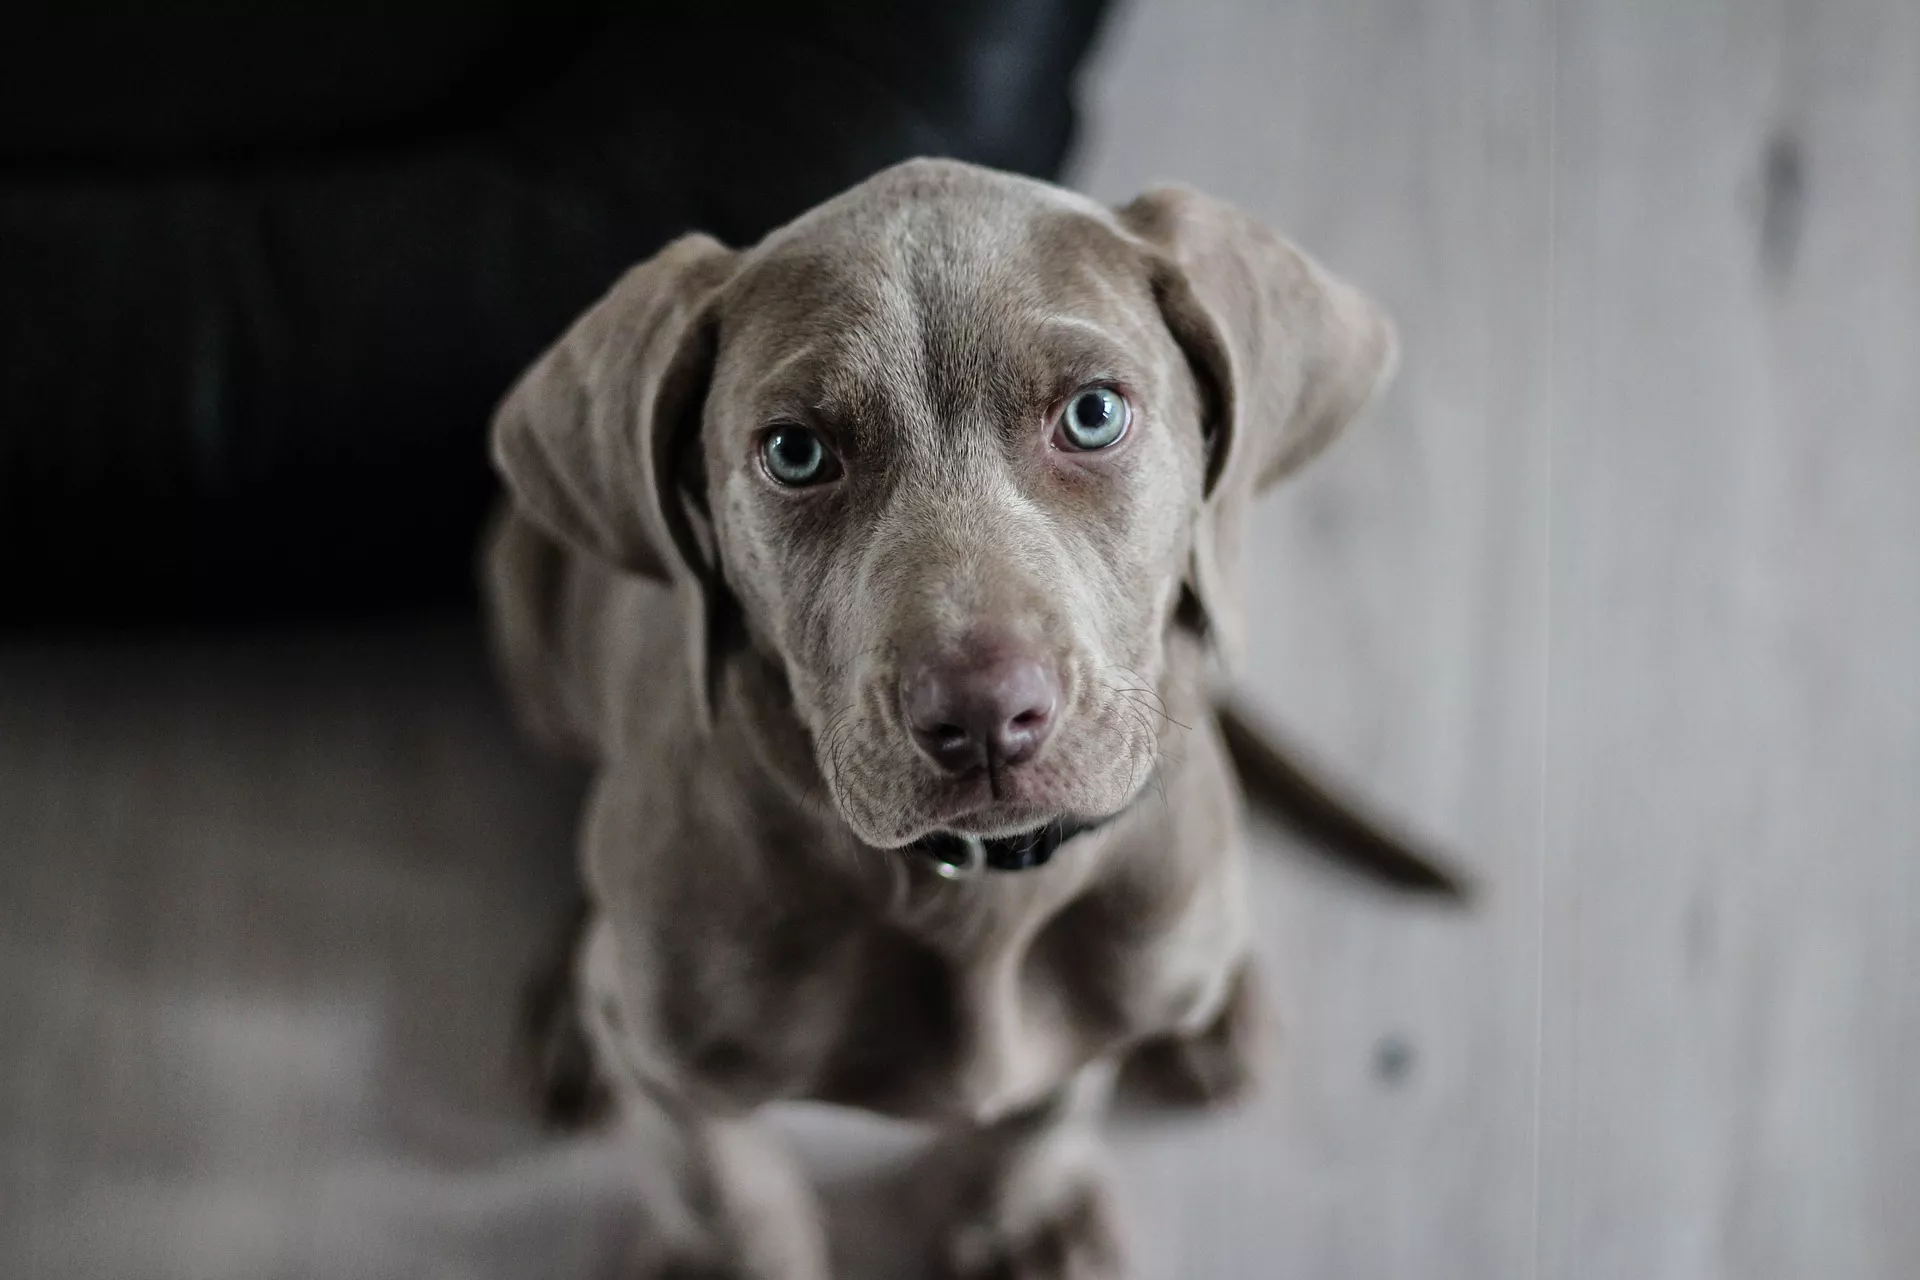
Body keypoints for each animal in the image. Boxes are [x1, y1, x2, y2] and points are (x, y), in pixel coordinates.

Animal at [480, 160, 1451, 1280]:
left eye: (1093, 414)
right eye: (795, 452)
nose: (985, 716)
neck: (970, 893)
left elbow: (1052, 1100)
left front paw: (1023, 1215)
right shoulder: (676, 1068)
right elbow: (717, 1180)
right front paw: (735, 1252)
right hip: (521, 593)